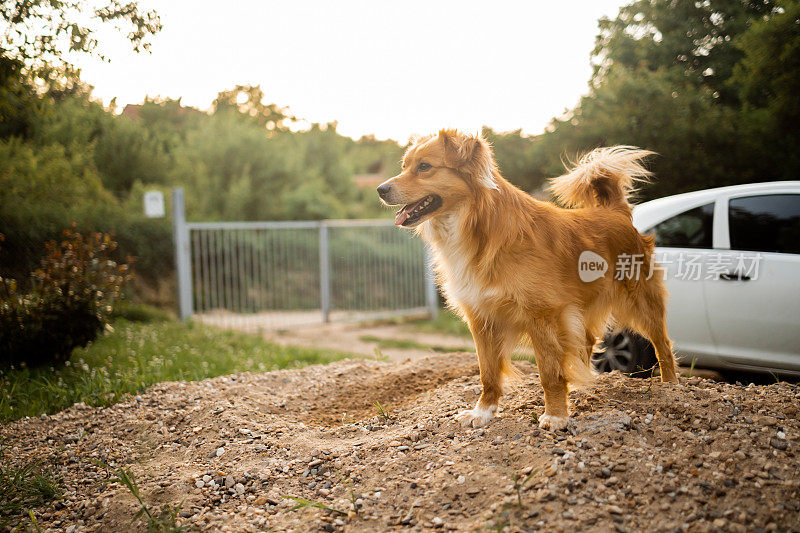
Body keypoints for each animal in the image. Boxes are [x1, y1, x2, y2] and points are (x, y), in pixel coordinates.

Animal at [378, 131, 680, 430]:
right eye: (404, 166)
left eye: (424, 167)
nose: (381, 189)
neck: (476, 225)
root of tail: (616, 212)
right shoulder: (481, 317)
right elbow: (488, 373)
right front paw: (484, 411)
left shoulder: (543, 314)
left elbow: (549, 372)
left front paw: (556, 415)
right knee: (587, 341)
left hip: (642, 301)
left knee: (663, 345)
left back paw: (670, 386)